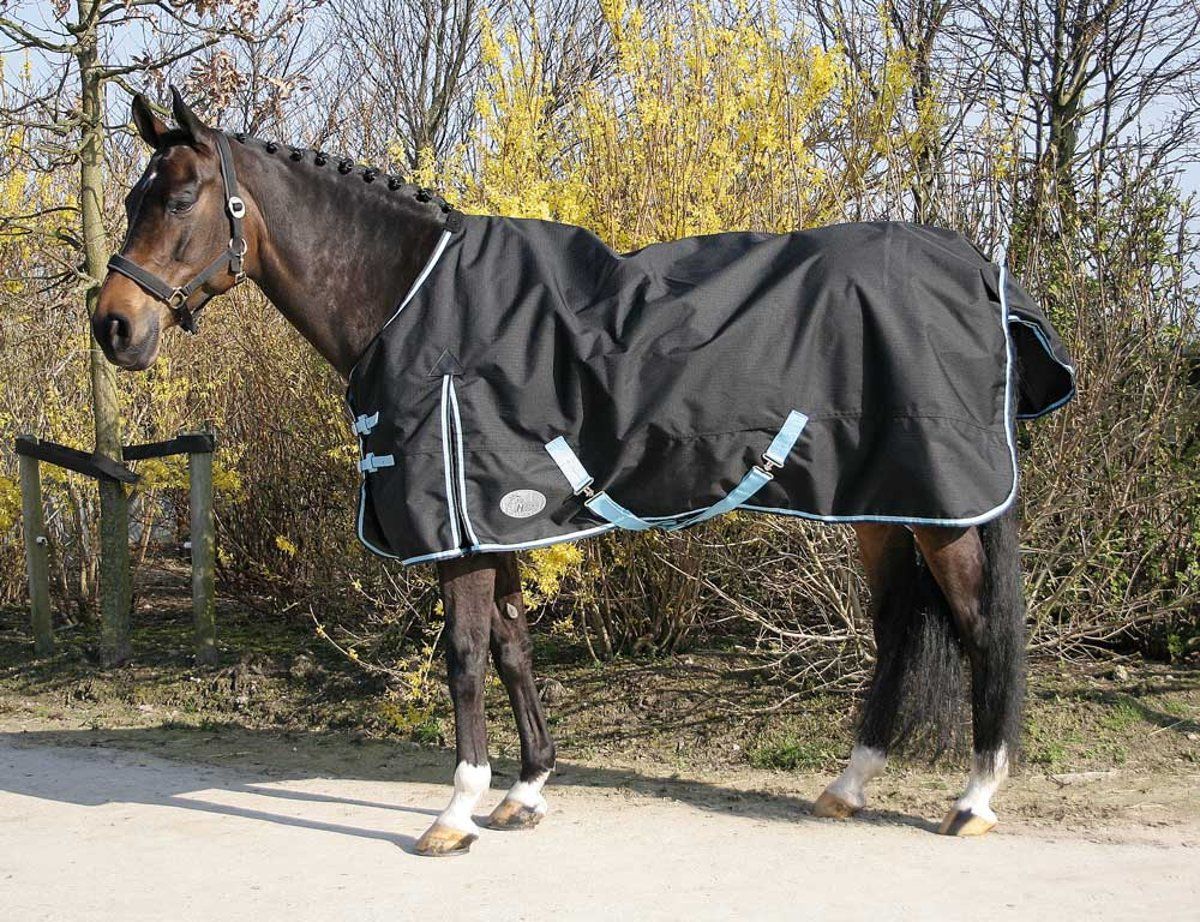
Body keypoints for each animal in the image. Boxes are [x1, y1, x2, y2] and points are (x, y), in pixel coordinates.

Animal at [94, 89, 1071, 856]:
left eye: (179, 198)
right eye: (137, 196)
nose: (113, 327)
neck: (411, 298)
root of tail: (980, 274)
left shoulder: (460, 528)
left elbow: (464, 658)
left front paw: (455, 813)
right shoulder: (496, 519)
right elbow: (514, 648)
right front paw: (524, 792)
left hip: (946, 507)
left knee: (983, 629)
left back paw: (973, 800)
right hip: (883, 506)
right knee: (900, 629)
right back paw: (849, 786)